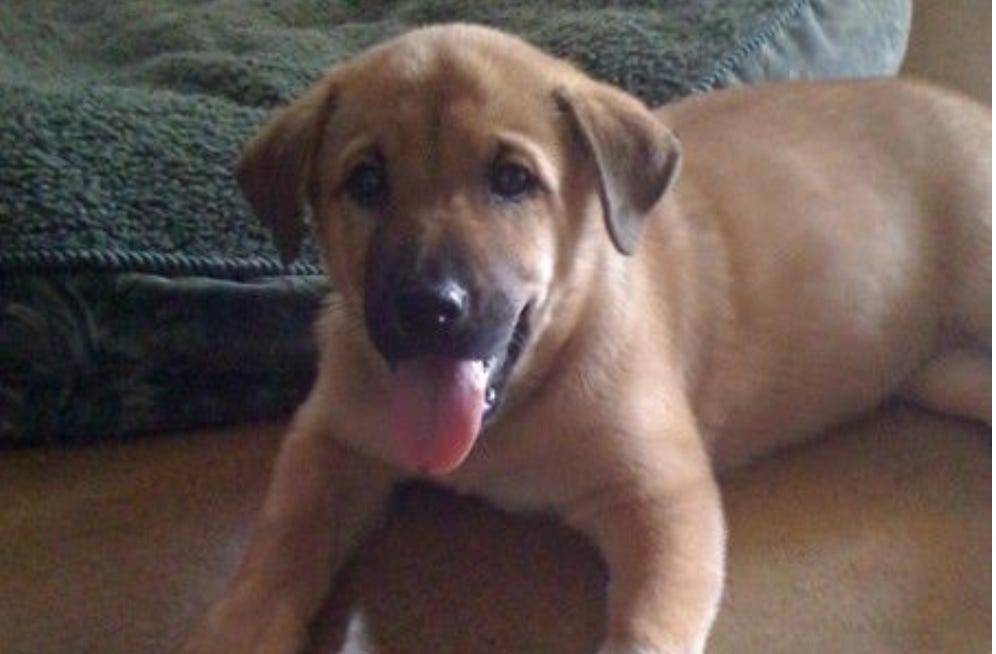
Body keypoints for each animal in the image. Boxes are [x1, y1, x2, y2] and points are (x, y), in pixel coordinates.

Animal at [182, 23, 991, 654]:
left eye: (512, 179)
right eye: (367, 182)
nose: (427, 308)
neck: (516, 409)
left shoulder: (664, 495)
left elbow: (645, 628)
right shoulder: (328, 443)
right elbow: (278, 548)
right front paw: (234, 629)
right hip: (947, 373)